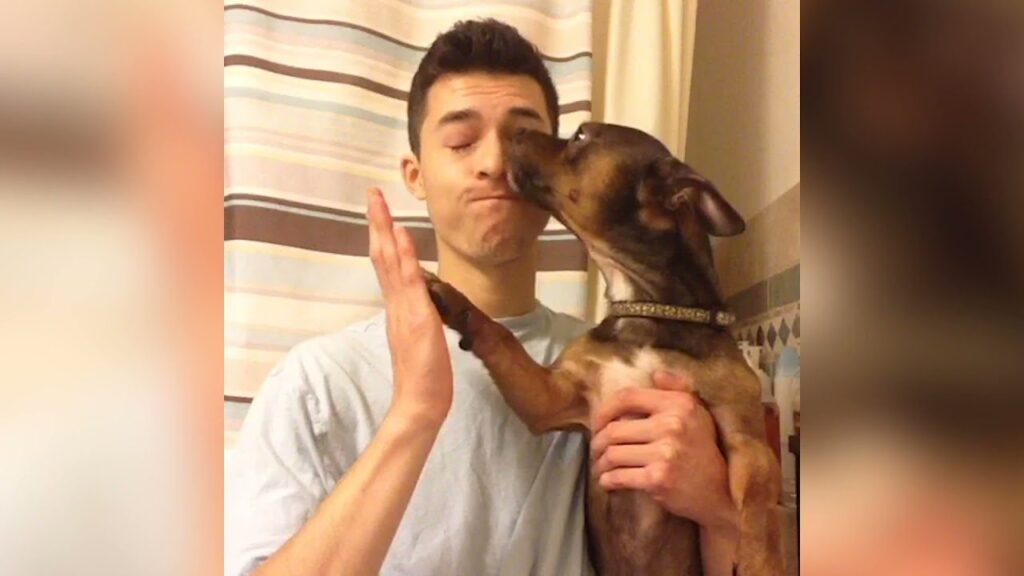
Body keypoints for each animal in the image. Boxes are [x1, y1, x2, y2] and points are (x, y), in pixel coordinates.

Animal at [423, 120, 782, 573]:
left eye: (580, 136)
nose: (514, 128)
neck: (649, 312)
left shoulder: (745, 436)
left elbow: (760, 491)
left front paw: (759, 559)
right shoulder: (552, 397)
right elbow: (499, 335)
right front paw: (454, 300)